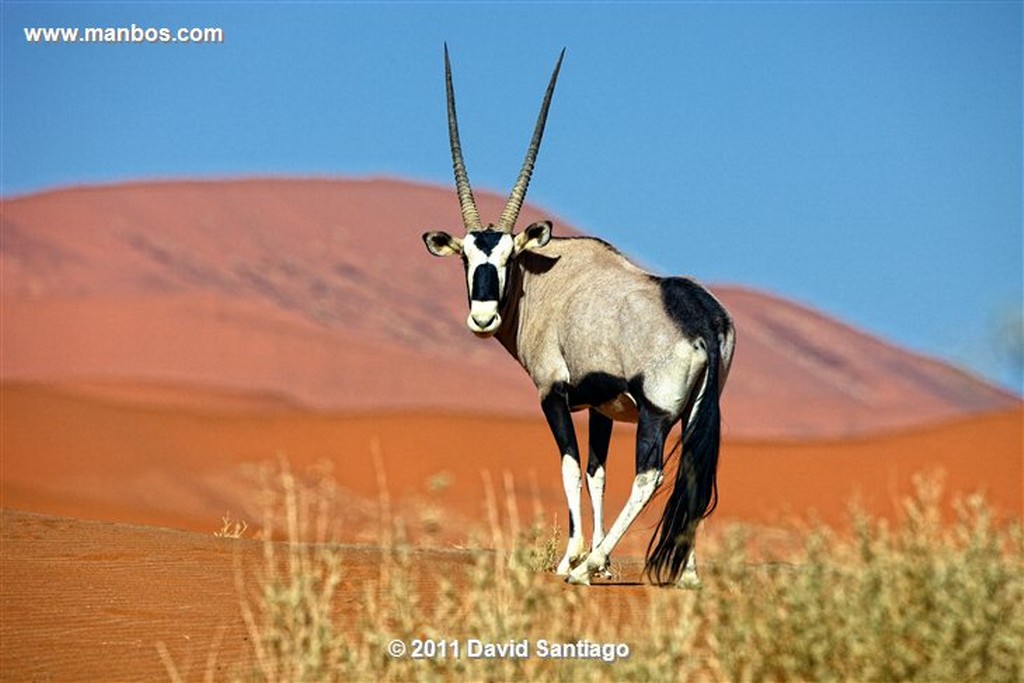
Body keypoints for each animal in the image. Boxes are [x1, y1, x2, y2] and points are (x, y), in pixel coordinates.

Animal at [423, 46, 737, 589]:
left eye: (507, 258)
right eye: (467, 257)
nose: (483, 319)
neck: (545, 277)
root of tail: (702, 318)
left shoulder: (554, 394)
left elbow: (570, 467)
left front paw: (574, 559)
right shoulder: (601, 408)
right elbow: (596, 473)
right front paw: (601, 561)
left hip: (656, 412)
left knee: (650, 475)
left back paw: (587, 568)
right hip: (699, 410)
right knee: (696, 471)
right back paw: (689, 574)